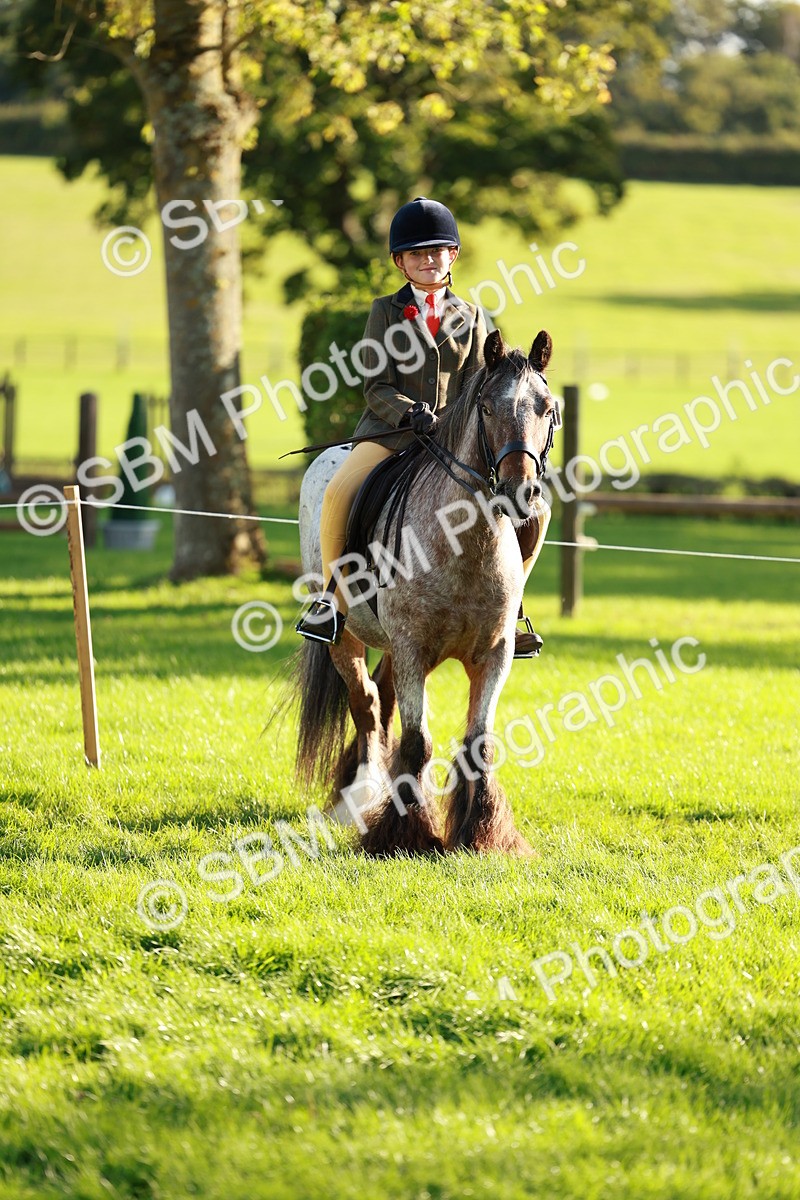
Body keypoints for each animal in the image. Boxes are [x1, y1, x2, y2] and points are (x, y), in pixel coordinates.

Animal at [294, 328, 558, 857]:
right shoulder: (414, 647)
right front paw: (405, 834)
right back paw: (359, 800)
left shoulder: (493, 653)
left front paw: (481, 834)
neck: (467, 543)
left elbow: (479, 742)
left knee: (383, 696)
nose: (521, 492)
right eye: (487, 408)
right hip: (346, 636)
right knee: (367, 703)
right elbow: (418, 742)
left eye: (546, 408)